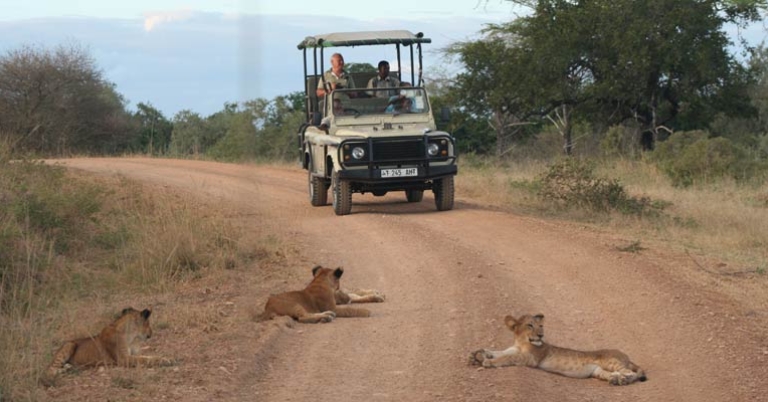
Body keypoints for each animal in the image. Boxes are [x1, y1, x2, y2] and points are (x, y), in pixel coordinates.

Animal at [44, 307, 174, 383]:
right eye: (148, 323)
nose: (151, 334)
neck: (131, 336)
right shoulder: (123, 359)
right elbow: (145, 359)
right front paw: (166, 360)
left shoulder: (133, 353)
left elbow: (146, 356)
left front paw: (166, 358)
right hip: (68, 345)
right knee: (49, 370)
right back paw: (64, 370)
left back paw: (69, 367)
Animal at [469, 313, 647, 386]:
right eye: (530, 325)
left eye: (541, 326)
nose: (541, 335)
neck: (521, 342)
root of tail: (626, 356)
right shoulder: (513, 349)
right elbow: (498, 352)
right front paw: (477, 354)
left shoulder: (530, 359)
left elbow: (506, 358)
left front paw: (487, 362)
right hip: (598, 371)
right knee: (616, 373)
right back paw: (616, 379)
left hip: (611, 362)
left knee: (632, 373)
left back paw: (623, 379)